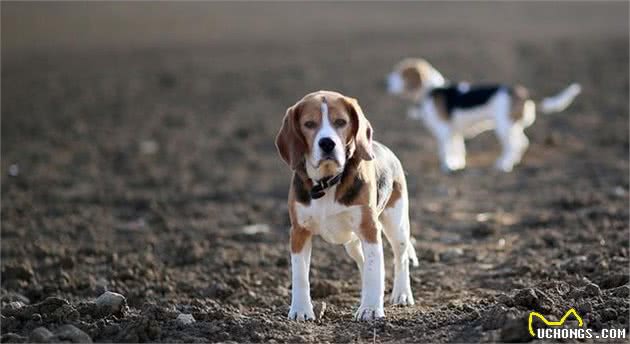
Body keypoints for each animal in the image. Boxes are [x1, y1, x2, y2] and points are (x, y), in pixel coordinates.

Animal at [276, 90, 420, 322]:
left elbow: (374, 271)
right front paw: (300, 310)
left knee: (401, 258)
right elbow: (299, 275)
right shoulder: (299, 232)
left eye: (340, 122)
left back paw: (402, 294)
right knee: (363, 261)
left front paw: (370, 309)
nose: (327, 143)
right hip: (352, 243)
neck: (327, 182)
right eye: (309, 124)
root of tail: (383, 147)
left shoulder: (369, 229)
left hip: (396, 225)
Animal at [386, 58, 584, 175]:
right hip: (512, 126)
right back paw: (513, 162)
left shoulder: (443, 133)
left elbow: (445, 151)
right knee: (523, 143)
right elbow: (458, 150)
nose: (385, 83)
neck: (431, 90)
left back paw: (503, 165)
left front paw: (447, 167)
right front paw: (457, 164)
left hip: (504, 127)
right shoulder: (454, 133)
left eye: (401, 73)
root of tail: (521, 92)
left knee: (514, 145)